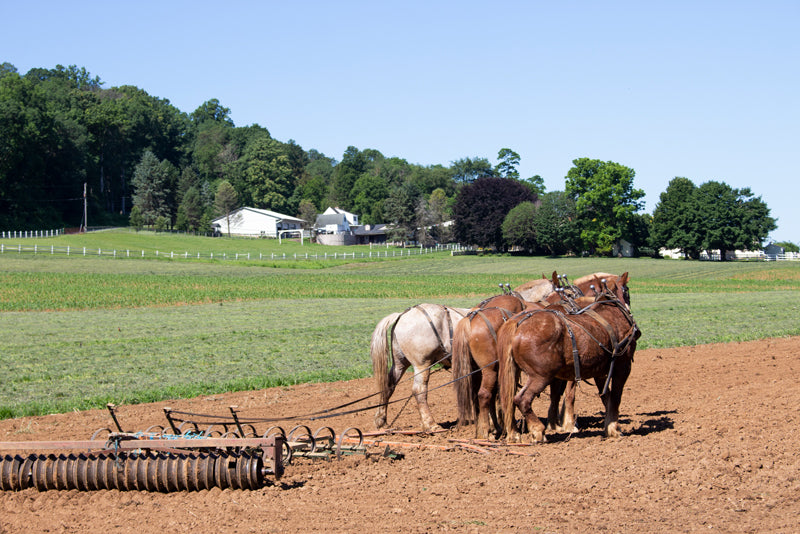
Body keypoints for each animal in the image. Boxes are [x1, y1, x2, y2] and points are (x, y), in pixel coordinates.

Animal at [372, 304, 472, 434]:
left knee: (388, 386)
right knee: (419, 390)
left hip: (399, 364)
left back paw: (381, 421)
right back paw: (431, 425)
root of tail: (402, 315)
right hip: (422, 365)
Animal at [496, 272, 640, 444]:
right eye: (627, 290)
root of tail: (517, 324)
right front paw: (613, 429)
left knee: (507, 399)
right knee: (521, 399)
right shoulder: (622, 367)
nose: (637, 331)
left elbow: (606, 397)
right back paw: (538, 431)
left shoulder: (600, 372)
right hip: (540, 376)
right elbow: (615, 397)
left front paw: (609, 426)